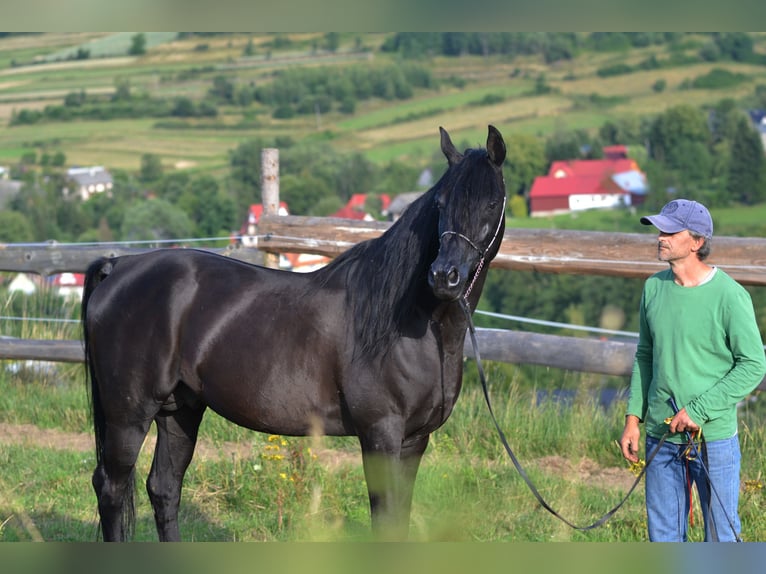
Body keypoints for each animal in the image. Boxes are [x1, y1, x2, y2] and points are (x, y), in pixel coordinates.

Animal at [81, 125, 507, 541]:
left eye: (491, 203)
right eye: (441, 204)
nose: (444, 277)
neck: (410, 327)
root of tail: (119, 267)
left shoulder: (415, 440)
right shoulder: (380, 434)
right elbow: (384, 521)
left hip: (178, 410)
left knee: (164, 488)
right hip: (128, 416)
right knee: (111, 488)